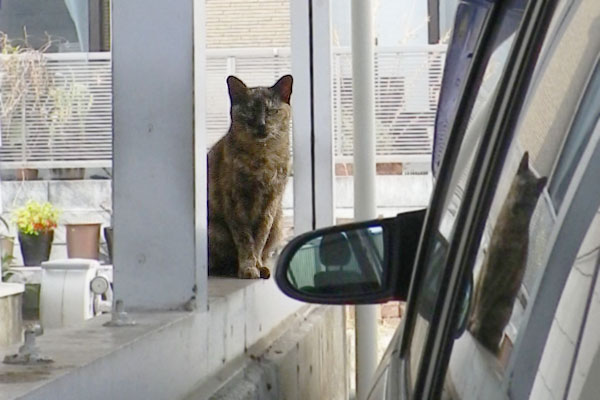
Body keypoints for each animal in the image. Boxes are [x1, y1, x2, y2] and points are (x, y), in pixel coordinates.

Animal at [207, 76, 294, 280]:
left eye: (271, 111)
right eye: (249, 111)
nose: (261, 125)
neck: (262, 158)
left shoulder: (270, 202)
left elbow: (260, 238)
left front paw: (259, 265)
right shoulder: (235, 201)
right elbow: (245, 239)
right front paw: (248, 268)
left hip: (278, 225)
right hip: (215, 231)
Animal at [468, 152, 548, 352]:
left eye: (530, 195)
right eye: (519, 186)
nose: (518, 203)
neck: (509, 226)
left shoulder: (502, 272)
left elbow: (486, 300)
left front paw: (474, 324)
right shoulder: (490, 263)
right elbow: (480, 295)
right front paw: (470, 320)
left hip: (502, 308)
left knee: (492, 337)